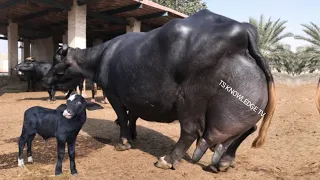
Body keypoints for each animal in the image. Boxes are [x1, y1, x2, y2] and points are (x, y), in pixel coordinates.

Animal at [43, 9, 276, 173]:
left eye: (56, 60)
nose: (45, 80)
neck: (102, 56)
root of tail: (244, 31)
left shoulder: (113, 94)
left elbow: (123, 116)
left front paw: (124, 142)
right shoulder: (134, 96)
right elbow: (132, 116)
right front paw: (133, 134)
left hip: (189, 101)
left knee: (191, 131)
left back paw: (168, 160)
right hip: (245, 104)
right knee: (247, 130)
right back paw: (225, 161)